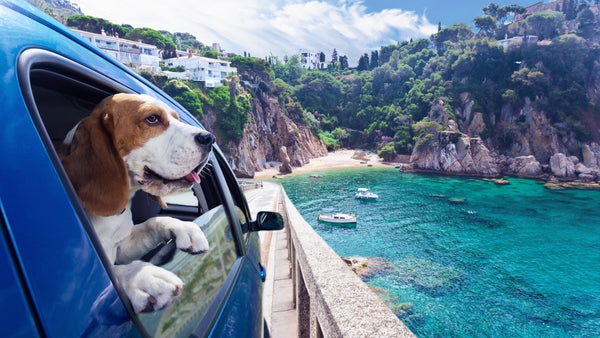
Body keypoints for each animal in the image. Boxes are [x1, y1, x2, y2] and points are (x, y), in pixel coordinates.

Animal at [59, 93, 214, 314]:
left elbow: (153, 223)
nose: (209, 138)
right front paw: (141, 277)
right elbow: (114, 272)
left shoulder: (123, 247)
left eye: (176, 117)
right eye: (152, 119)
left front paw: (184, 227)